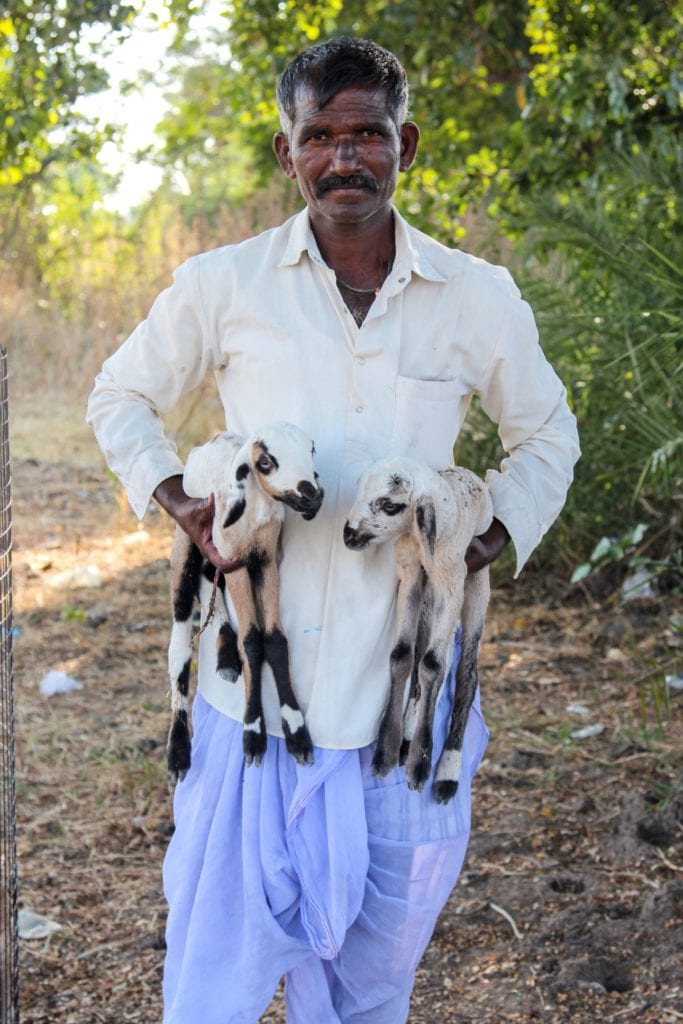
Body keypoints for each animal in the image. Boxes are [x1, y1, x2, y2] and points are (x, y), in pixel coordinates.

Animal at [166, 419, 325, 778]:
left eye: (311, 449)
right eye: (265, 462)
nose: (311, 495)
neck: (255, 515)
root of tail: (211, 440)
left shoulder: (264, 561)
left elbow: (275, 639)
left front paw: (295, 730)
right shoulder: (236, 560)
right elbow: (252, 640)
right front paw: (253, 733)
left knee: (208, 579)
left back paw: (225, 656)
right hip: (187, 540)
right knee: (179, 639)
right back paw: (178, 750)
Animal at [344, 460, 493, 802]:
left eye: (389, 505)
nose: (348, 534)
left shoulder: (452, 580)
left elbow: (433, 665)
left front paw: (421, 766)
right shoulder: (411, 573)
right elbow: (402, 655)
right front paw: (386, 751)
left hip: (476, 583)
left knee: (465, 670)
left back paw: (447, 771)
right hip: (428, 596)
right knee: (432, 654)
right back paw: (408, 735)